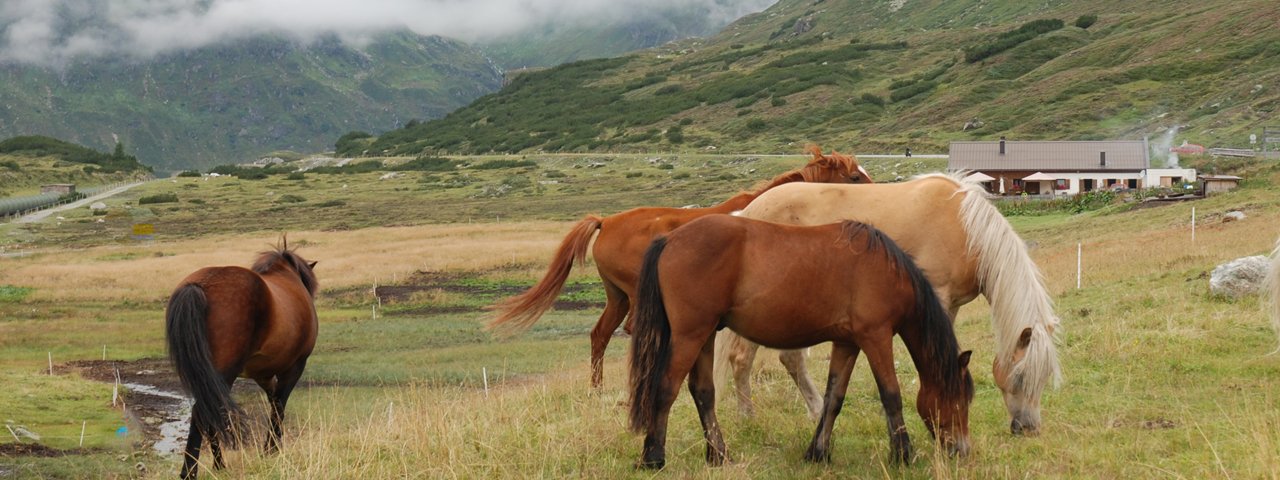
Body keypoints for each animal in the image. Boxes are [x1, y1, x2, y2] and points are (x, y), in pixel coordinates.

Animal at [166, 241, 318, 478]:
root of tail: (199, 285)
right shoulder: (294, 367)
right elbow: (279, 406)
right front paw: (271, 450)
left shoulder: (262, 375)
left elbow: (273, 402)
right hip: (223, 374)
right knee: (203, 413)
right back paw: (190, 471)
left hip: (206, 377)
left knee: (209, 412)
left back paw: (219, 465)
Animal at [486, 144, 870, 391]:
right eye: (854, 177)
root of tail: (605, 222)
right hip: (635, 295)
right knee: (632, 330)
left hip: (617, 297)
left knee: (600, 334)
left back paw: (597, 389)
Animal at [627, 215, 967, 471]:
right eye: (961, 400)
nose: (961, 450)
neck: (886, 270)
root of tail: (669, 239)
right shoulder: (876, 337)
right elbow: (891, 395)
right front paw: (902, 455)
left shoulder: (847, 343)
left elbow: (834, 398)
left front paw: (818, 453)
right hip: (690, 335)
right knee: (665, 389)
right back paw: (653, 458)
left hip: (705, 335)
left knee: (703, 393)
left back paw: (718, 455)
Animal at [716, 172, 1064, 435]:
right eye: (1020, 377)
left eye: (1044, 377)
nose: (1028, 428)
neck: (966, 229)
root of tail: (748, 211)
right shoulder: (938, 299)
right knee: (741, 358)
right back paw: (748, 419)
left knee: (790, 359)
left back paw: (816, 412)